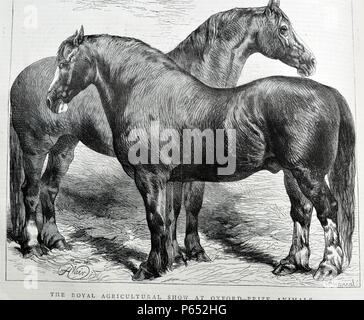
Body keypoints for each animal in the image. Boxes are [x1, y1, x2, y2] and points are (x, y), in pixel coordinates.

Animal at [10, 0, 316, 264]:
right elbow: (178, 208)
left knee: (49, 188)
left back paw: (55, 240)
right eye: (284, 28)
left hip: (64, 147)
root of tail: (21, 77)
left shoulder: (186, 168)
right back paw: (32, 246)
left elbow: (184, 206)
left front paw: (185, 251)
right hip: (36, 148)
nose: (310, 61)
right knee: (31, 190)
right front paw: (181, 253)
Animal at [46, 25, 356, 280]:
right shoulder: (171, 180)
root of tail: (327, 92)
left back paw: (327, 267)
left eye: (64, 63)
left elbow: (156, 221)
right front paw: (172, 261)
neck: (148, 92)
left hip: (308, 175)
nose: (51, 99)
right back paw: (292, 264)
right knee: (301, 212)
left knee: (328, 210)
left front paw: (150, 268)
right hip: (293, 175)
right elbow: (168, 218)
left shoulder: (150, 178)